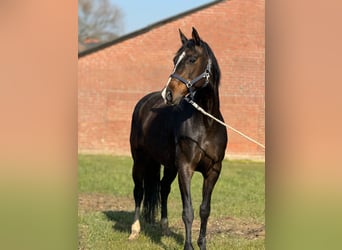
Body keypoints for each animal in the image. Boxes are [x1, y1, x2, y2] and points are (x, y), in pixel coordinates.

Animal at [128, 27, 227, 250]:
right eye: (175, 59)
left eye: (191, 59)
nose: (168, 94)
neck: (207, 123)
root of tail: (144, 102)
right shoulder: (185, 168)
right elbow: (188, 211)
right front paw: (188, 246)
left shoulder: (213, 170)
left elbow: (204, 210)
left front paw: (202, 245)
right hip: (140, 160)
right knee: (139, 190)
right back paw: (134, 230)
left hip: (169, 165)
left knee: (163, 188)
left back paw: (164, 228)